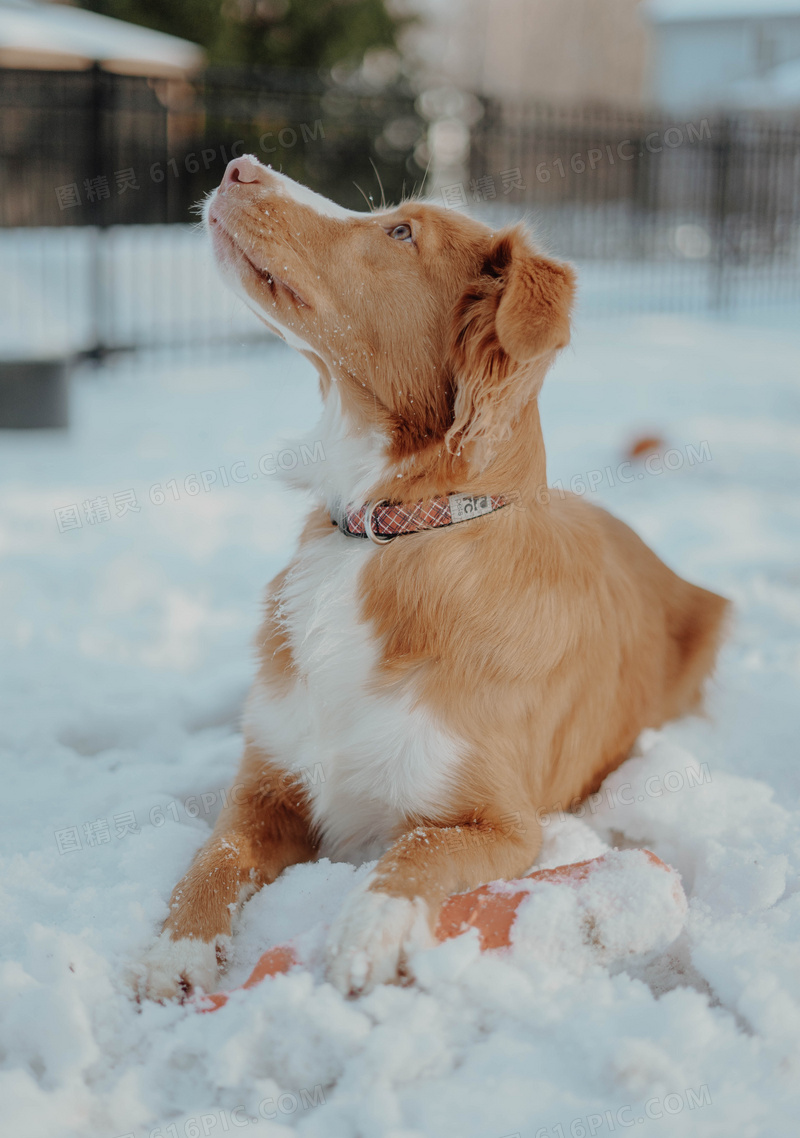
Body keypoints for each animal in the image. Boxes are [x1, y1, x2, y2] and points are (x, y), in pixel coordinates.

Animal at [139, 155, 732, 1001]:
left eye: (399, 232)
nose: (240, 166)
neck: (384, 534)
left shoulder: (503, 821)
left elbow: (417, 849)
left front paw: (370, 926)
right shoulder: (264, 789)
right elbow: (213, 856)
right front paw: (176, 948)